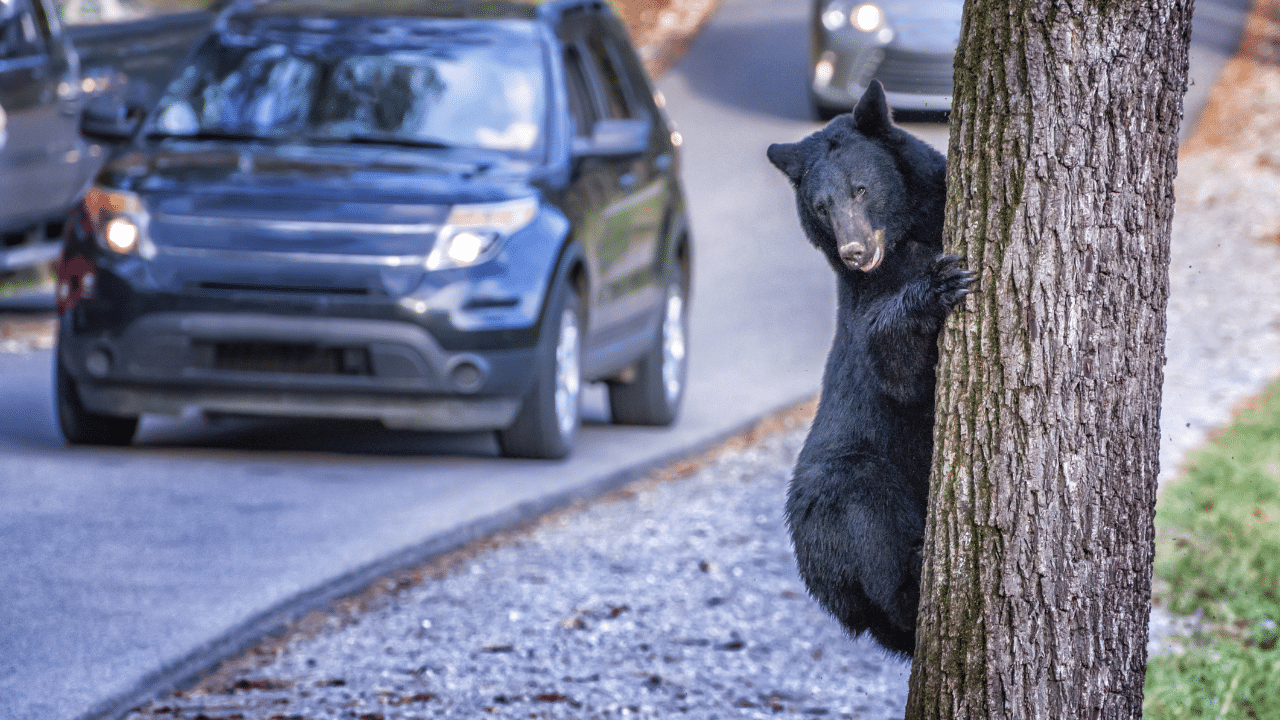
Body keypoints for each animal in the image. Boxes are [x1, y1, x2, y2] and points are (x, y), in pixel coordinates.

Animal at [766, 80, 974, 658]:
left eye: (860, 189)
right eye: (821, 206)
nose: (853, 251)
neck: (909, 240)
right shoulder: (864, 307)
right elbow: (896, 367)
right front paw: (940, 287)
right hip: (843, 488)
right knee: (868, 516)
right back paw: (914, 575)